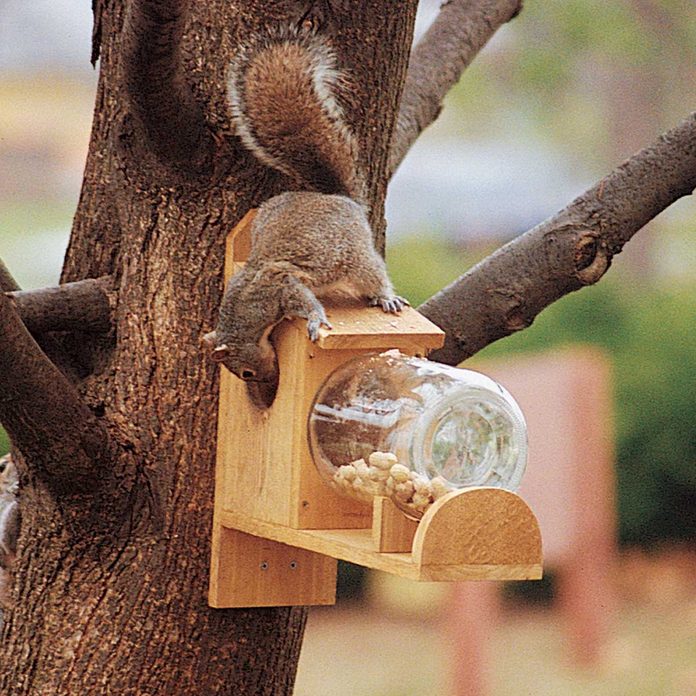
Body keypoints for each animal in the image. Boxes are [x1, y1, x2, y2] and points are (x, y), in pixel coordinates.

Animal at [204, 26, 407, 384]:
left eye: (245, 372)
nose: (270, 380)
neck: (241, 312)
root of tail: (337, 198)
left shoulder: (276, 288)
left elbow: (303, 300)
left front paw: (315, 320)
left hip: (356, 254)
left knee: (372, 273)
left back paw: (385, 296)